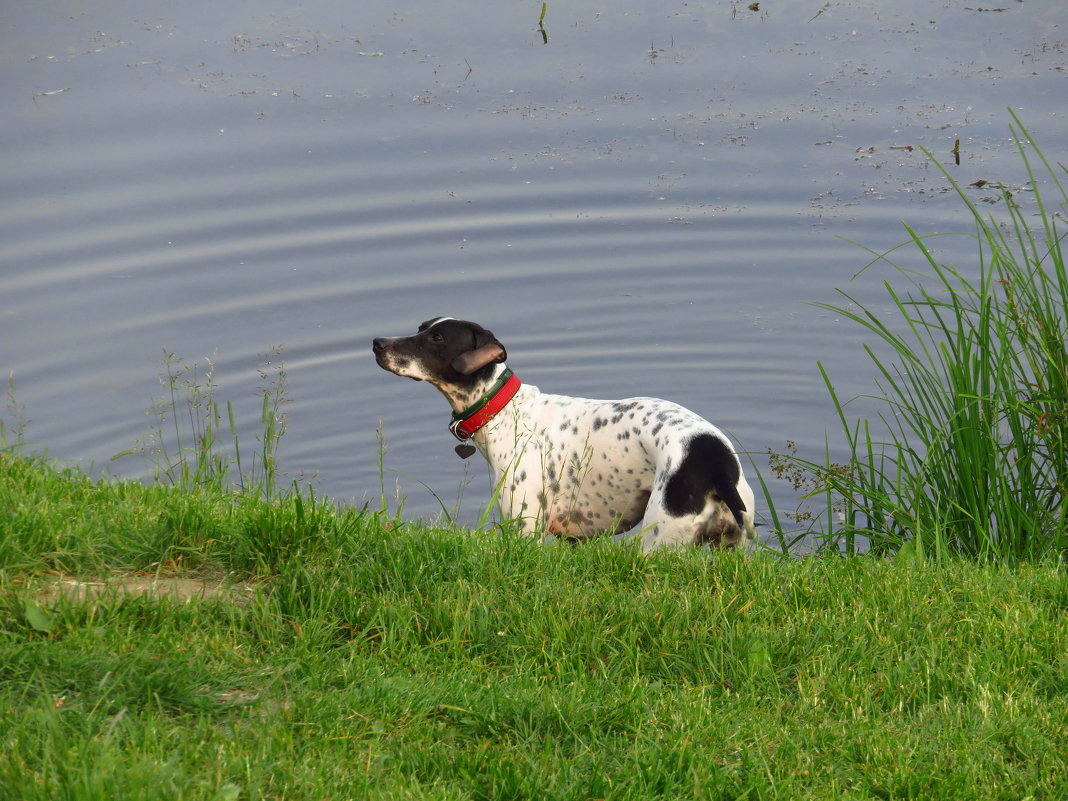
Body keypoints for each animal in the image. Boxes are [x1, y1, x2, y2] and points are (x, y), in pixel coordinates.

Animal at [371, 316, 756, 551]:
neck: (506, 411)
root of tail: (714, 459)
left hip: (659, 540)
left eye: (437, 337)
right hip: (731, 546)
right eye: (421, 328)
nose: (377, 342)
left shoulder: (525, 528)